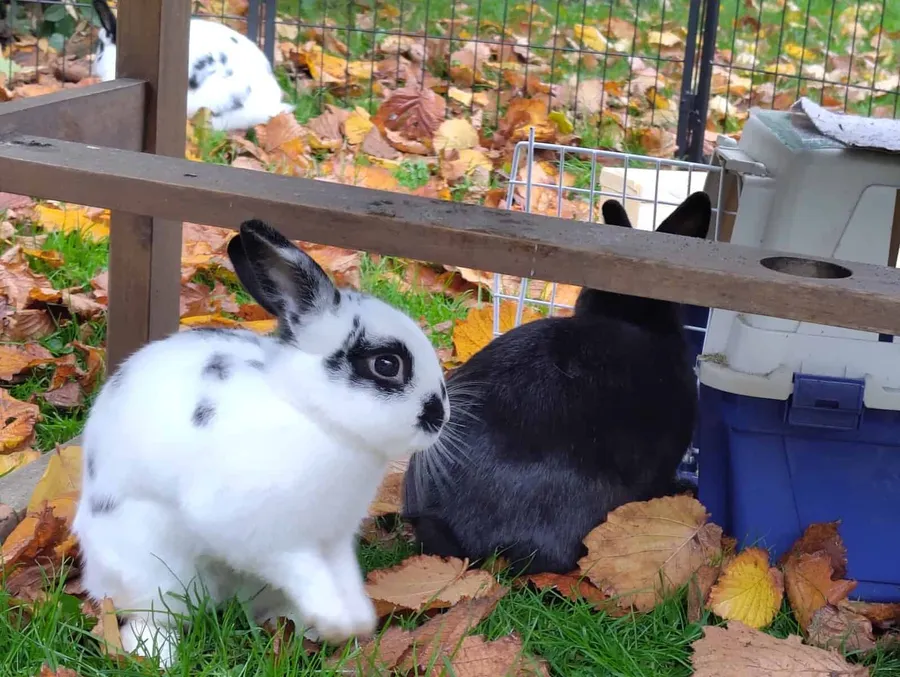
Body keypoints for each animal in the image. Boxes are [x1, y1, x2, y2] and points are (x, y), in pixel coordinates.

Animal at [71, 219, 450, 668]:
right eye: (387, 364)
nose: (439, 416)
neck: (314, 415)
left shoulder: (333, 539)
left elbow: (343, 575)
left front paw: (358, 620)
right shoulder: (263, 535)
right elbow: (301, 568)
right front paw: (339, 622)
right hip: (150, 566)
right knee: (148, 615)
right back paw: (159, 654)